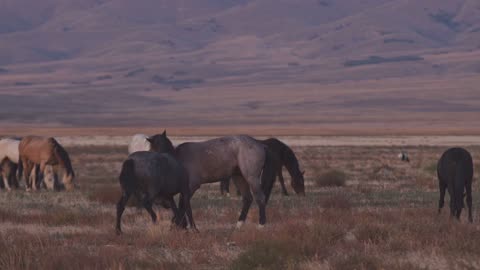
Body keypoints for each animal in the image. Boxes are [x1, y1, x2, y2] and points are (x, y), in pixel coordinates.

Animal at [148, 131, 276, 228]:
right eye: (154, 148)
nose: (164, 159)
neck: (178, 160)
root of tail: (260, 145)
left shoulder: (191, 187)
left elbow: (183, 205)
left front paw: (177, 224)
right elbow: (182, 205)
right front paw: (178, 224)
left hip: (251, 178)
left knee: (260, 198)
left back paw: (261, 225)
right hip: (239, 177)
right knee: (247, 199)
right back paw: (239, 225)